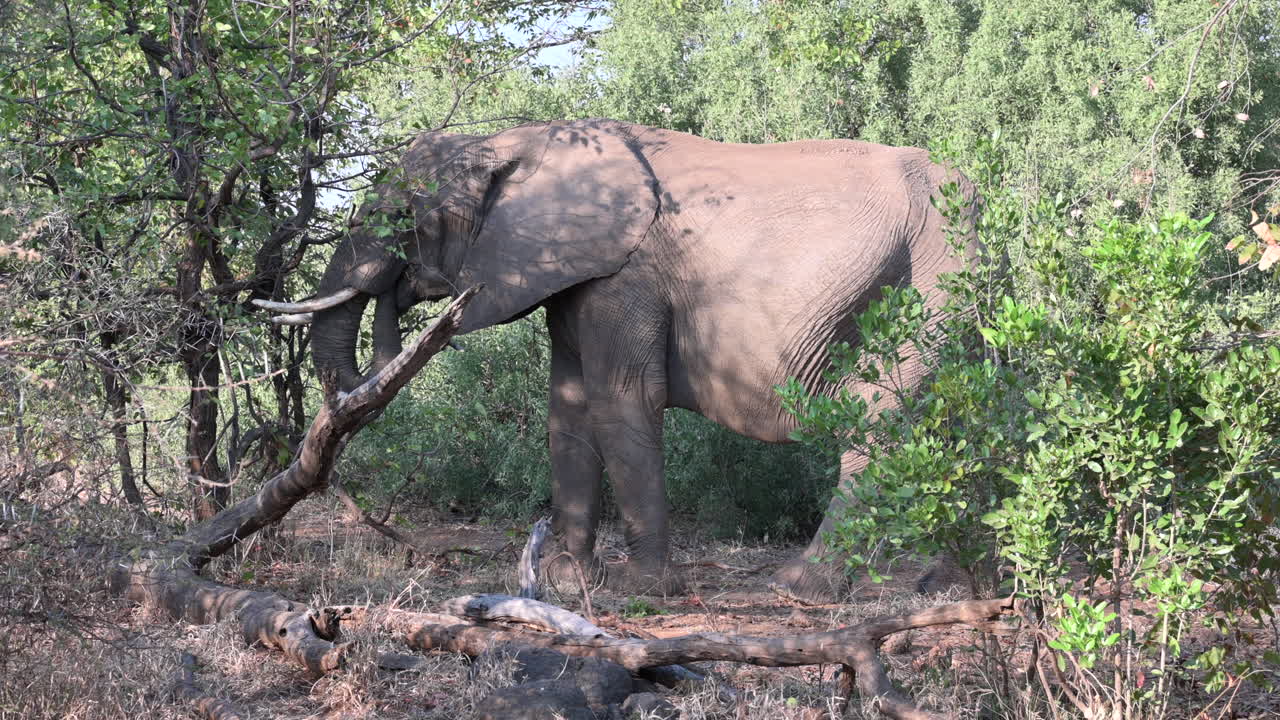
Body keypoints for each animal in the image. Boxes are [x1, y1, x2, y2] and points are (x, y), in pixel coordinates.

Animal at [259, 118, 977, 604]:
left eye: (405, 216)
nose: (402, 299)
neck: (517, 140)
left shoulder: (625, 275)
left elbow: (621, 397)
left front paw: (641, 590)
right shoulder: (577, 275)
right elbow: (569, 407)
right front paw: (566, 579)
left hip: (931, 282)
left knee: (883, 425)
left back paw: (800, 588)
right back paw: (947, 587)